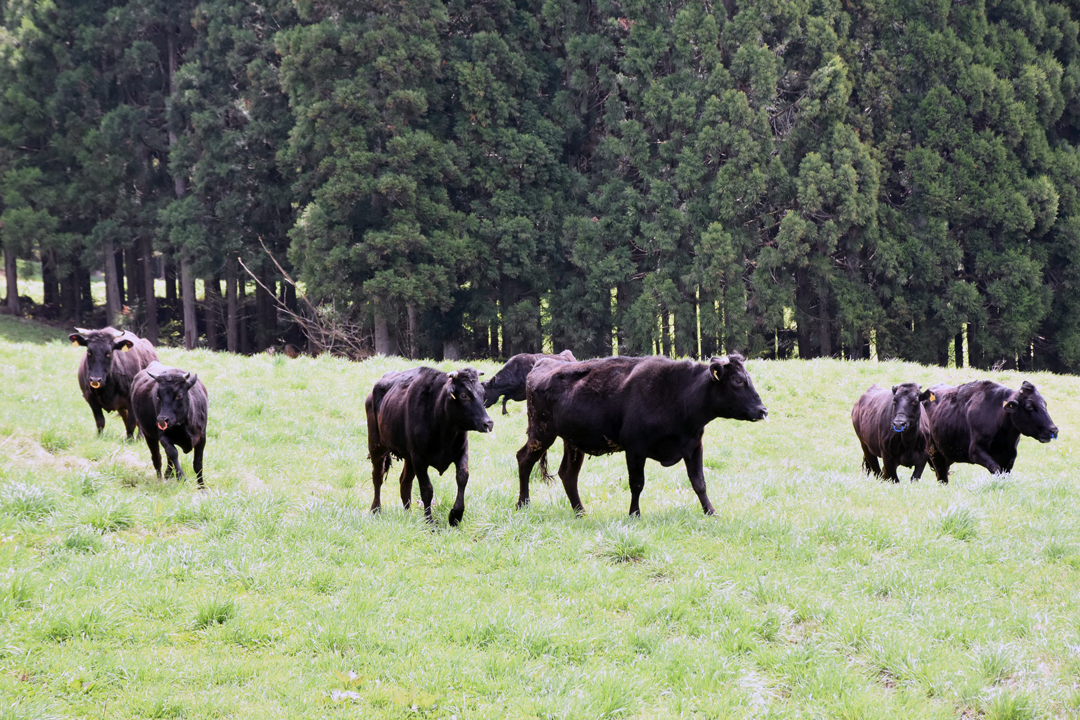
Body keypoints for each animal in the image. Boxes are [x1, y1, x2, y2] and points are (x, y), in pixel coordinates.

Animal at [129, 360, 209, 490]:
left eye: (179, 395)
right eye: (158, 396)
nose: (162, 419)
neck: (183, 425)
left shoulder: (201, 437)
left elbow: (198, 463)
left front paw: (202, 487)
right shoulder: (163, 436)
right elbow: (172, 452)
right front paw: (181, 477)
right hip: (148, 435)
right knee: (157, 458)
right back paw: (161, 479)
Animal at [367, 369, 494, 526]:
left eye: (482, 393)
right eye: (464, 395)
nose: (488, 423)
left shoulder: (462, 452)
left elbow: (462, 477)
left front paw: (456, 515)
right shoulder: (419, 458)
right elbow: (426, 489)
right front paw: (429, 521)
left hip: (408, 456)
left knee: (405, 481)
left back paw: (408, 514)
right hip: (377, 445)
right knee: (377, 476)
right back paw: (376, 509)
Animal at [514, 351, 768, 515]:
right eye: (737, 380)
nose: (762, 410)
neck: (678, 394)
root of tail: (543, 363)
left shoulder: (694, 446)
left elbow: (699, 482)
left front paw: (711, 512)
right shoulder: (635, 449)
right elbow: (637, 483)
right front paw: (634, 514)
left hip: (572, 442)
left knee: (568, 474)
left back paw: (580, 511)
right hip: (541, 432)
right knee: (524, 459)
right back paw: (523, 504)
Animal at [924, 377, 1058, 483]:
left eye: (1045, 404)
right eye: (1029, 406)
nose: (1053, 430)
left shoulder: (1010, 457)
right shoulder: (975, 451)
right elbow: (996, 469)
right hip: (934, 451)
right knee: (942, 478)